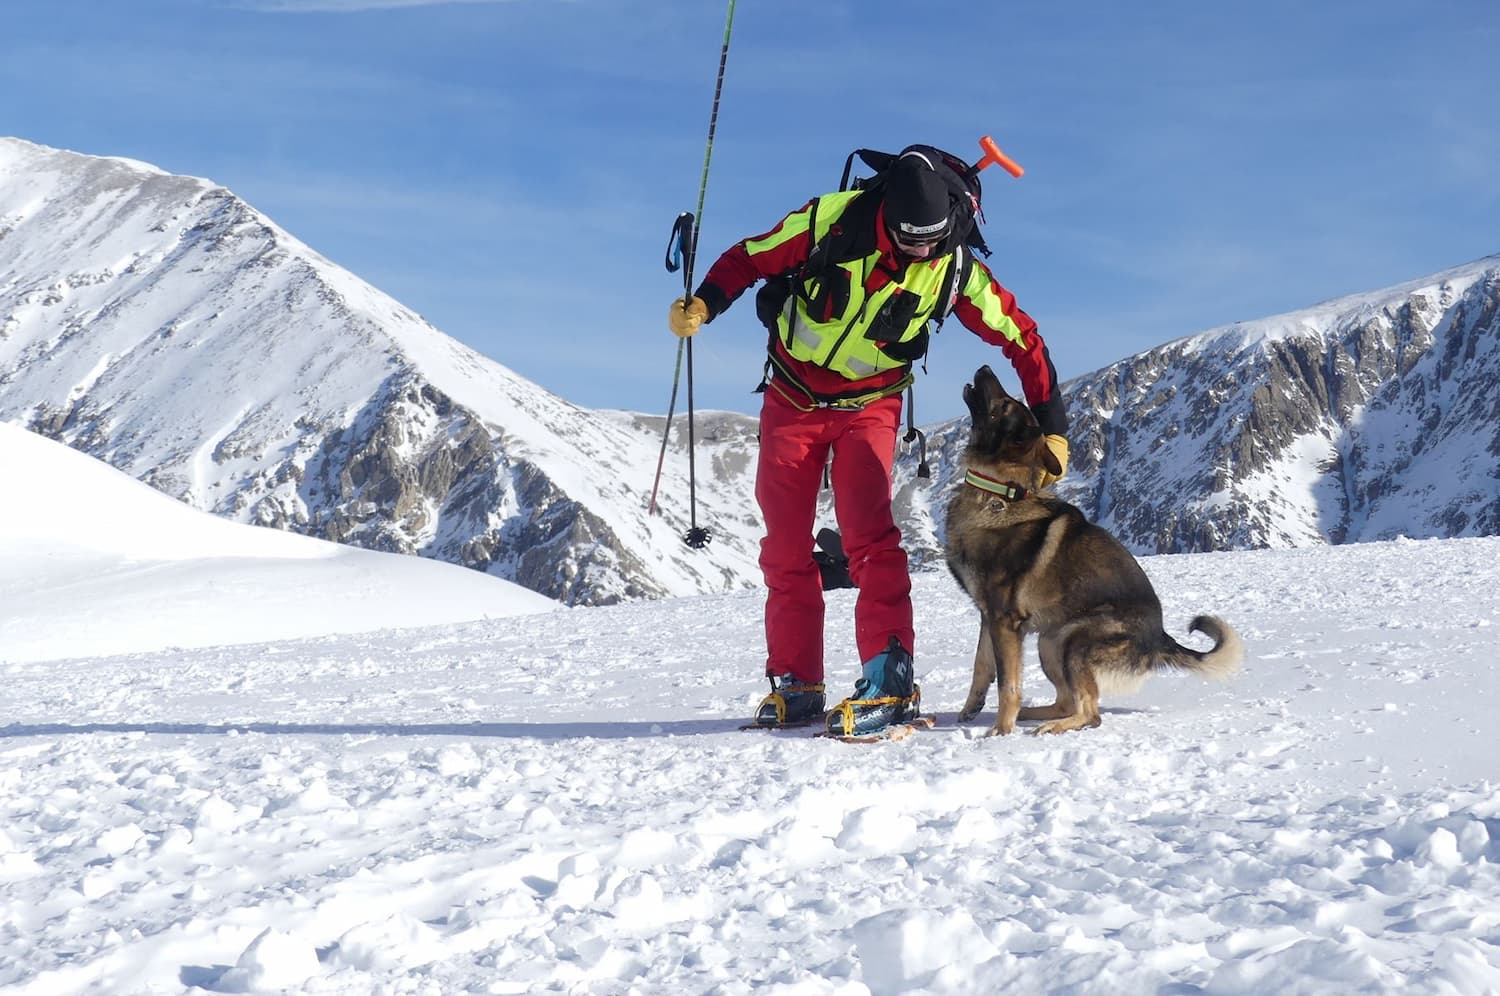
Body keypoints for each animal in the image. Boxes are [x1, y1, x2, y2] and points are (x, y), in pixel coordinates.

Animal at [948, 366, 1242, 732]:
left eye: (1004, 405)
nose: (985, 368)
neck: (999, 491)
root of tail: (1160, 636)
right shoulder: (989, 616)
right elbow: (982, 665)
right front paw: (972, 709)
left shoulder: (1004, 620)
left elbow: (1008, 683)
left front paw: (1001, 730)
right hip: (1050, 641)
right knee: (1067, 700)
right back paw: (1034, 714)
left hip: (1072, 642)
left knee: (1090, 712)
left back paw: (1051, 725)